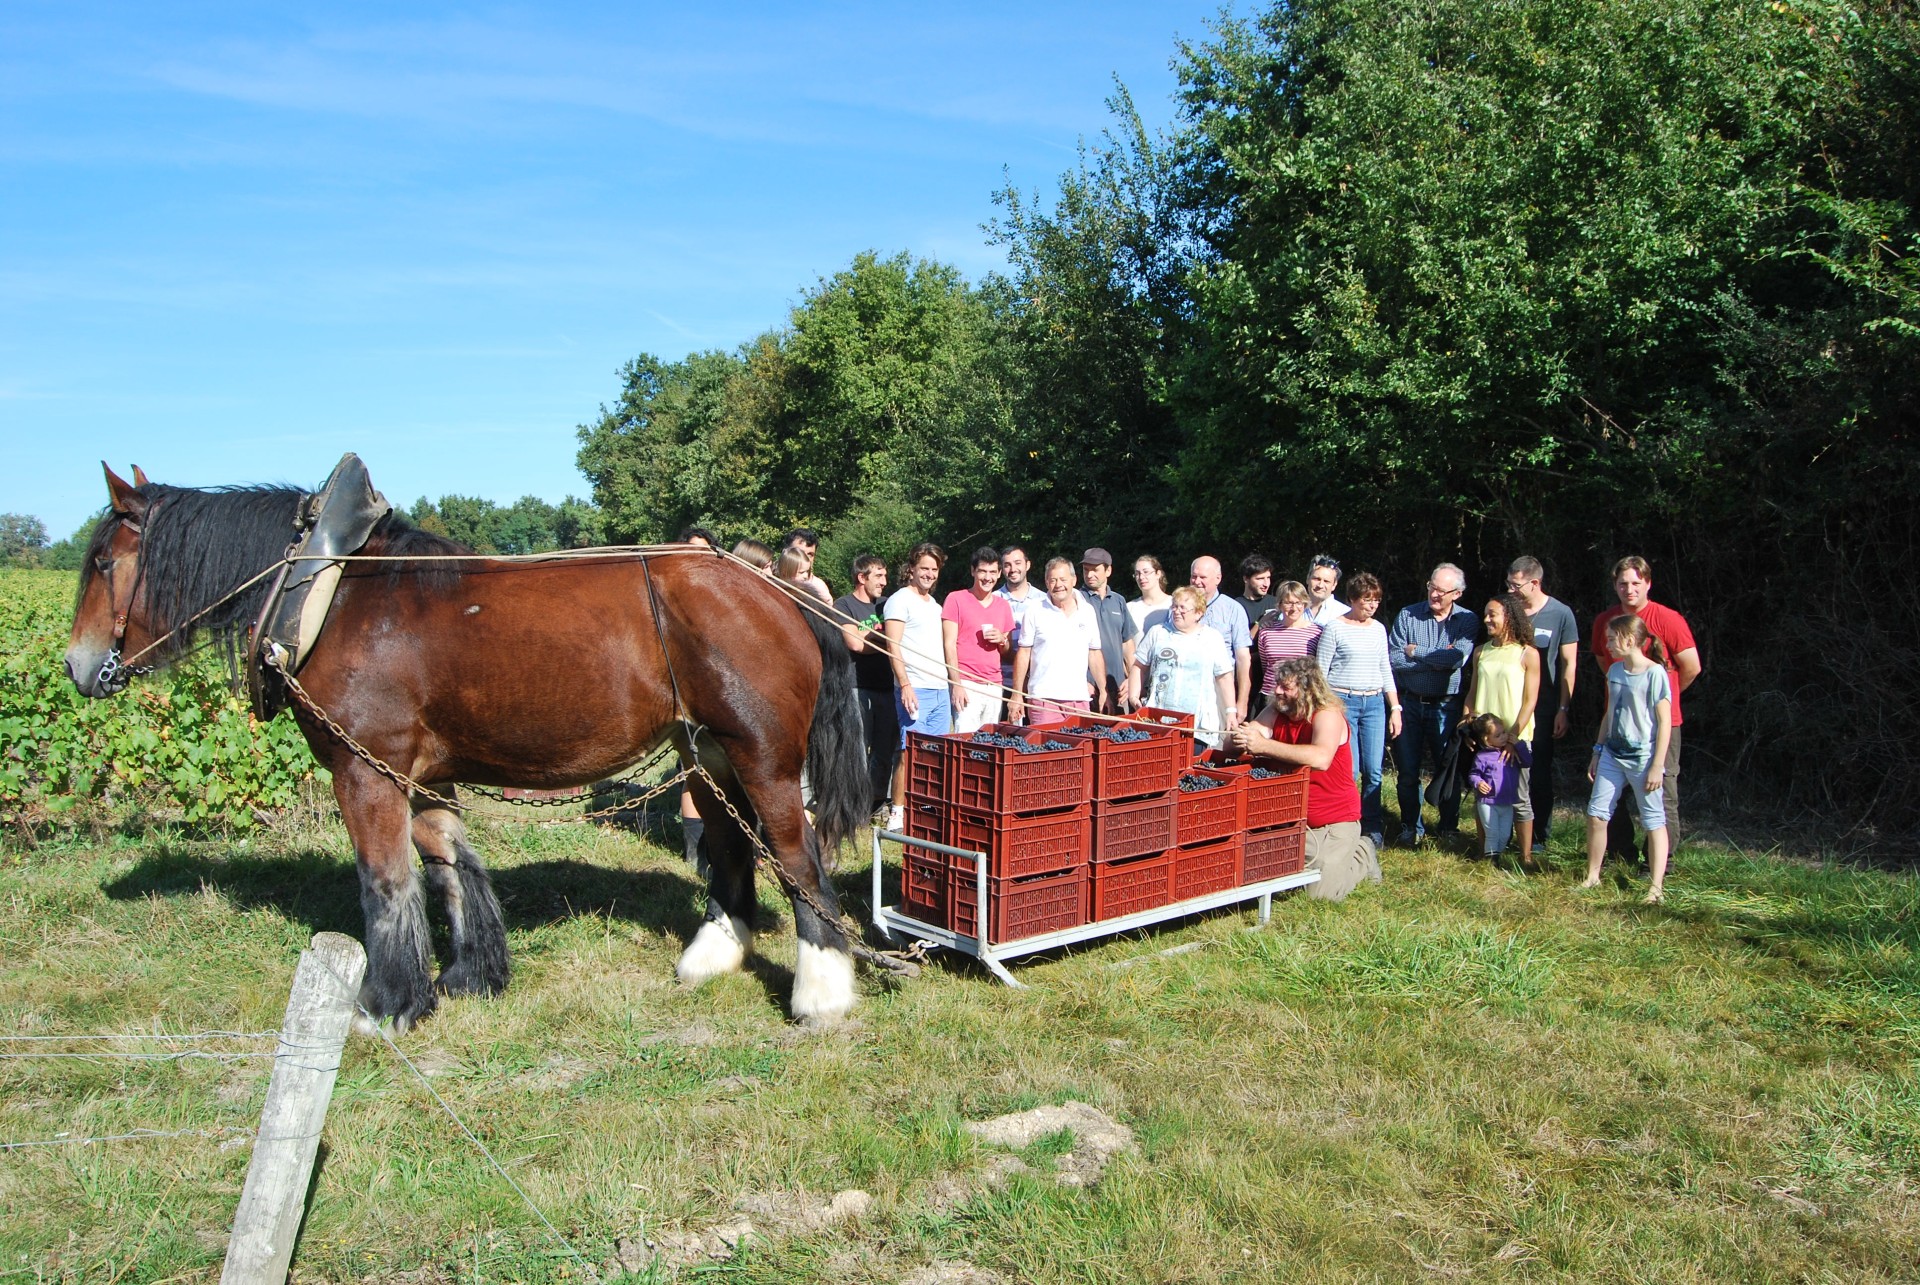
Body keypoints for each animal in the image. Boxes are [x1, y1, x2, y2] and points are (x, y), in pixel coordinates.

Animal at [63, 466, 867, 1029]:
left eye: (102, 562)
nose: (76, 665)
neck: (332, 594)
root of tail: (781, 593)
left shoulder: (363, 771)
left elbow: (385, 881)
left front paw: (386, 1002)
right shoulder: (418, 774)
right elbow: (447, 864)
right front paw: (470, 975)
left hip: (762, 758)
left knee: (796, 858)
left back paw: (821, 993)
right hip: (707, 758)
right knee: (732, 850)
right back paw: (713, 955)